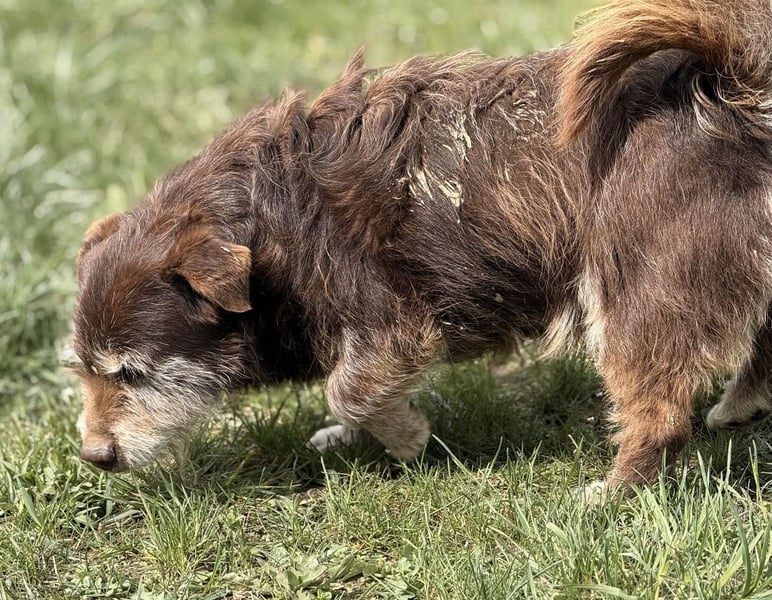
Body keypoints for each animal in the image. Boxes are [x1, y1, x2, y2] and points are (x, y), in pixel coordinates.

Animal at [72, 0, 772, 492]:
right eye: (83, 372)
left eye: (133, 373)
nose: (94, 456)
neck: (273, 229)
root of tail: (726, 88)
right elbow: (350, 389)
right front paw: (350, 434)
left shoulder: (395, 324)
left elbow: (348, 387)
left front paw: (403, 436)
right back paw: (741, 404)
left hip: (638, 293)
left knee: (659, 412)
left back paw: (614, 491)